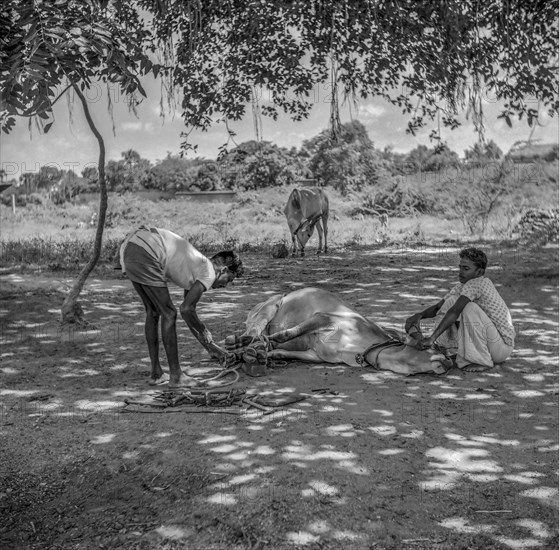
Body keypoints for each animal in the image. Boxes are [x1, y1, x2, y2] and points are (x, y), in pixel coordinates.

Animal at [225, 286, 448, 378]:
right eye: (429, 347)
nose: (449, 361)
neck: (359, 348)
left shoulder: (318, 355)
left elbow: (282, 352)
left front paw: (267, 353)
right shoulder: (326, 317)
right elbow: (286, 334)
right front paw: (267, 342)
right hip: (270, 305)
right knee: (254, 329)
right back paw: (239, 342)